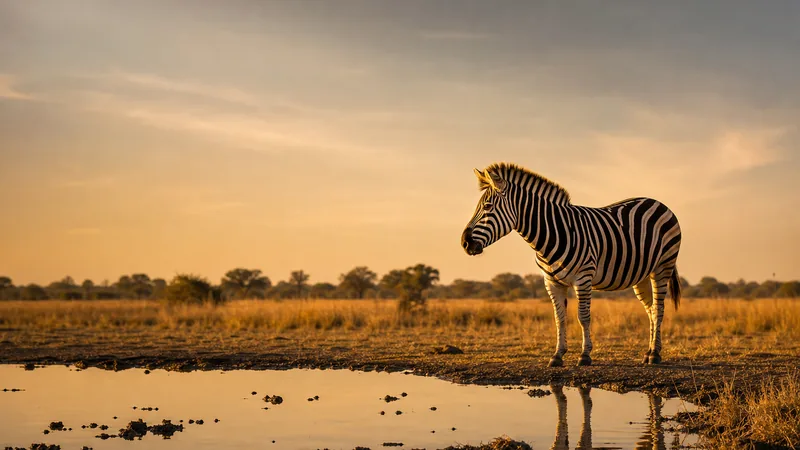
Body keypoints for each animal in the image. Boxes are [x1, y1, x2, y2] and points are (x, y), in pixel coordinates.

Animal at [461, 163, 682, 367]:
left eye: (487, 207)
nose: (464, 243)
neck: (552, 235)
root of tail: (657, 202)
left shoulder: (583, 278)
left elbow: (583, 317)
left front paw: (584, 355)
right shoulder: (551, 282)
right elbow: (559, 319)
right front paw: (557, 355)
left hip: (663, 267)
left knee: (659, 309)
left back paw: (655, 355)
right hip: (642, 274)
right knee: (651, 310)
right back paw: (649, 352)